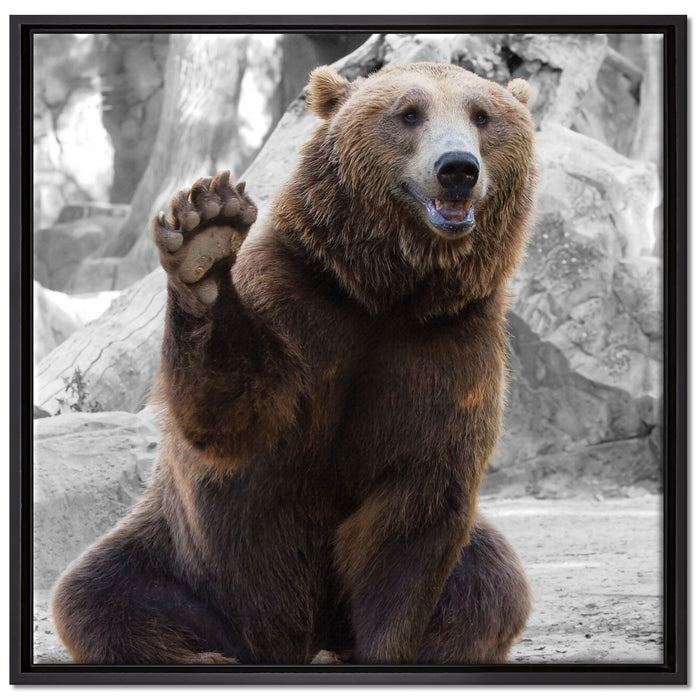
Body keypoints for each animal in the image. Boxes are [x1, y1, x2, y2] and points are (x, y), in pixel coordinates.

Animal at [52, 61, 537, 666]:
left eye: (482, 115)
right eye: (409, 113)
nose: (457, 169)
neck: (385, 293)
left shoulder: (447, 346)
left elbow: (414, 509)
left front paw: (384, 648)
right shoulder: (297, 302)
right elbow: (231, 414)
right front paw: (205, 239)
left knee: (494, 584)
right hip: (186, 562)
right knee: (100, 593)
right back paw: (208, 655)